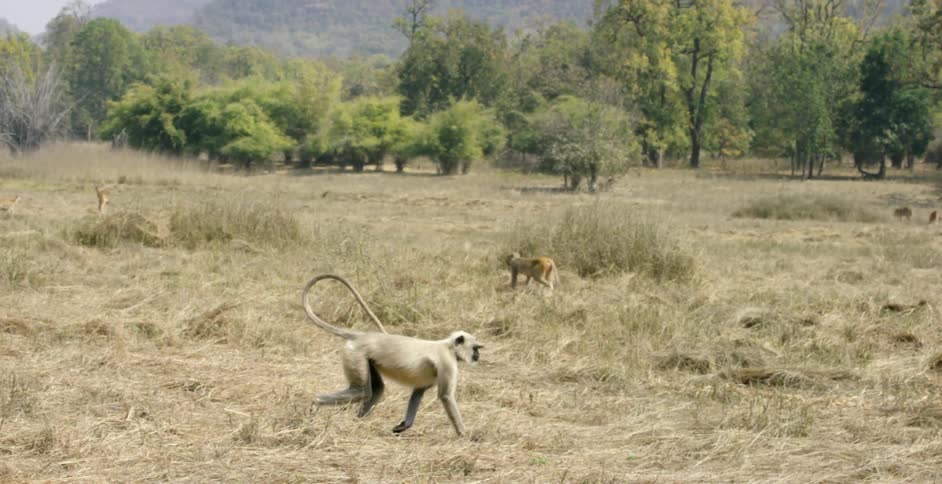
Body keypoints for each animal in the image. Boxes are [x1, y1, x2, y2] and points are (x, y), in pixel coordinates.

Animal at [302, 273, 482, 436]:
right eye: (475, 348)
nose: (477, 356)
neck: (449, 346)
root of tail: (361, 336)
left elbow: (418, 390)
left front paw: (404, 426)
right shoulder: (447, 363)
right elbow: (445, 396)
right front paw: (465, 435)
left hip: (365, 358)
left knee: (376, 390)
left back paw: (356, 423)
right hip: (355, 354)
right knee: (362, 392)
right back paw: (316, 403)